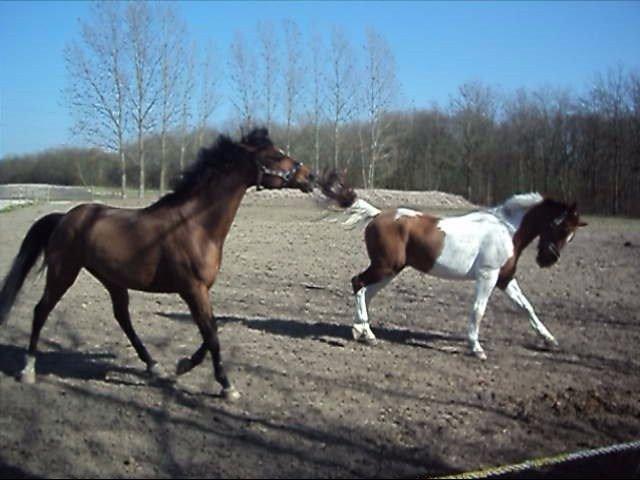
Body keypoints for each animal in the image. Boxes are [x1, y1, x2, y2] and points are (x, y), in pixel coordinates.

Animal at [0, 127, 316, 402]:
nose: (310, 176)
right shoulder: (192, 289)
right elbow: (211, 333)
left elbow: (212, 329)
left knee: (123, 318)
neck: (197, 226)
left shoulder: (201, 291)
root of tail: (64, 217)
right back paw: (28, 369)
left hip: (112, 279)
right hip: (63, 273)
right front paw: (227, 386)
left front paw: (182, 365)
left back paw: (154, 366)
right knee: (41, 310)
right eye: (275, 155)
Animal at [318, 172, 588, 360]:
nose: (547, 260)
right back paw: (367, 334)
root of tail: (377, 214)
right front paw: (476, 348)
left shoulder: (505, 279)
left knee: (366, 292)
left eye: (571, 235)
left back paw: (362, 332)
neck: (506, 230)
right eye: (560, 226)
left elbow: (527, 308)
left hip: (390, 270)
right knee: (358, 283)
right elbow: (478, 310)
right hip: (384, 267)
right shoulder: (488, 276)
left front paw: (550, 341)